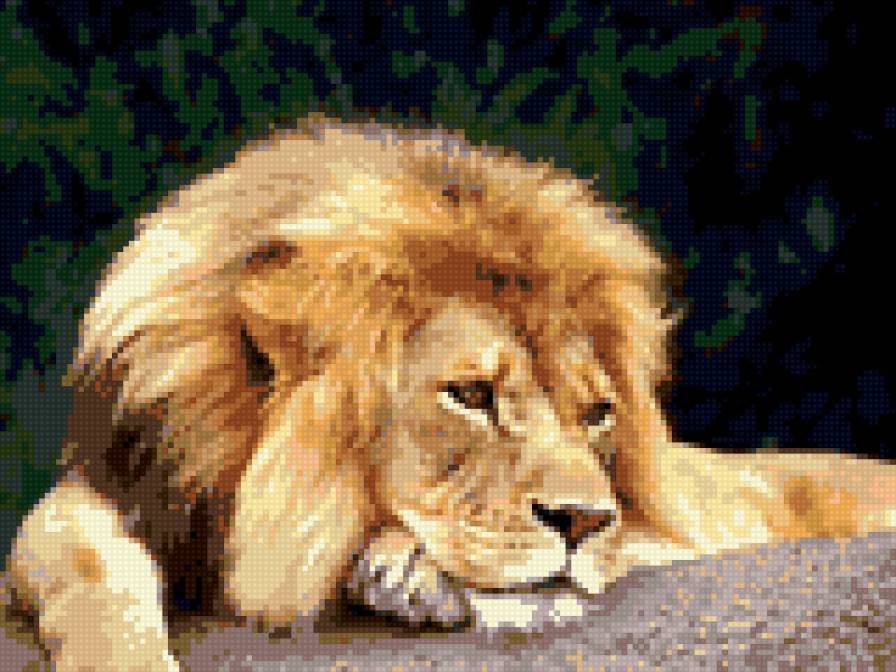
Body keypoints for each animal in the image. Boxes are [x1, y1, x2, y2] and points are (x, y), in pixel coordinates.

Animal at [5, 116, 896, 671]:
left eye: (597, 414)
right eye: (469, 394)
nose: (583, 520)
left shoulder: (687, 524)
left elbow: (643, 542)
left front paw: (401, 564)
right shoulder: (111, 490)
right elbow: (80, 562)